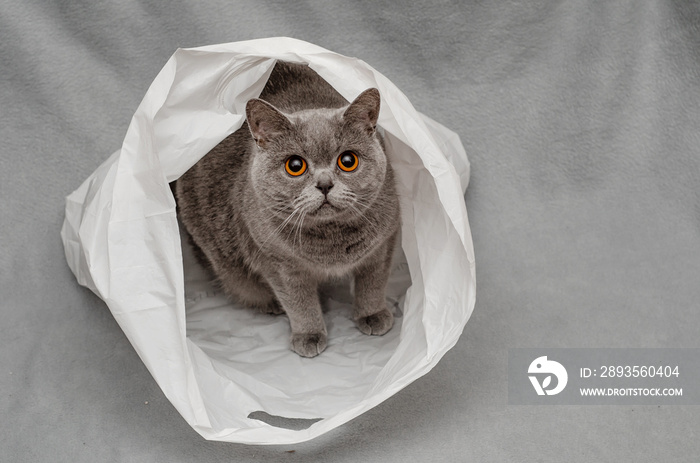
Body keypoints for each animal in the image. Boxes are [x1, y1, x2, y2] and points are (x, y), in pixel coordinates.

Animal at [175, 61, 400, 358]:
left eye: (348, 161)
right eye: (295, 166)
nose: (325, 184)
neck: (331, 241)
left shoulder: (385, 241)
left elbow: (373, 281)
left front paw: (373, 315)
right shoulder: (276, 262)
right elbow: (298, 301)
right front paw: (309, 335)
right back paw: (272, 304)